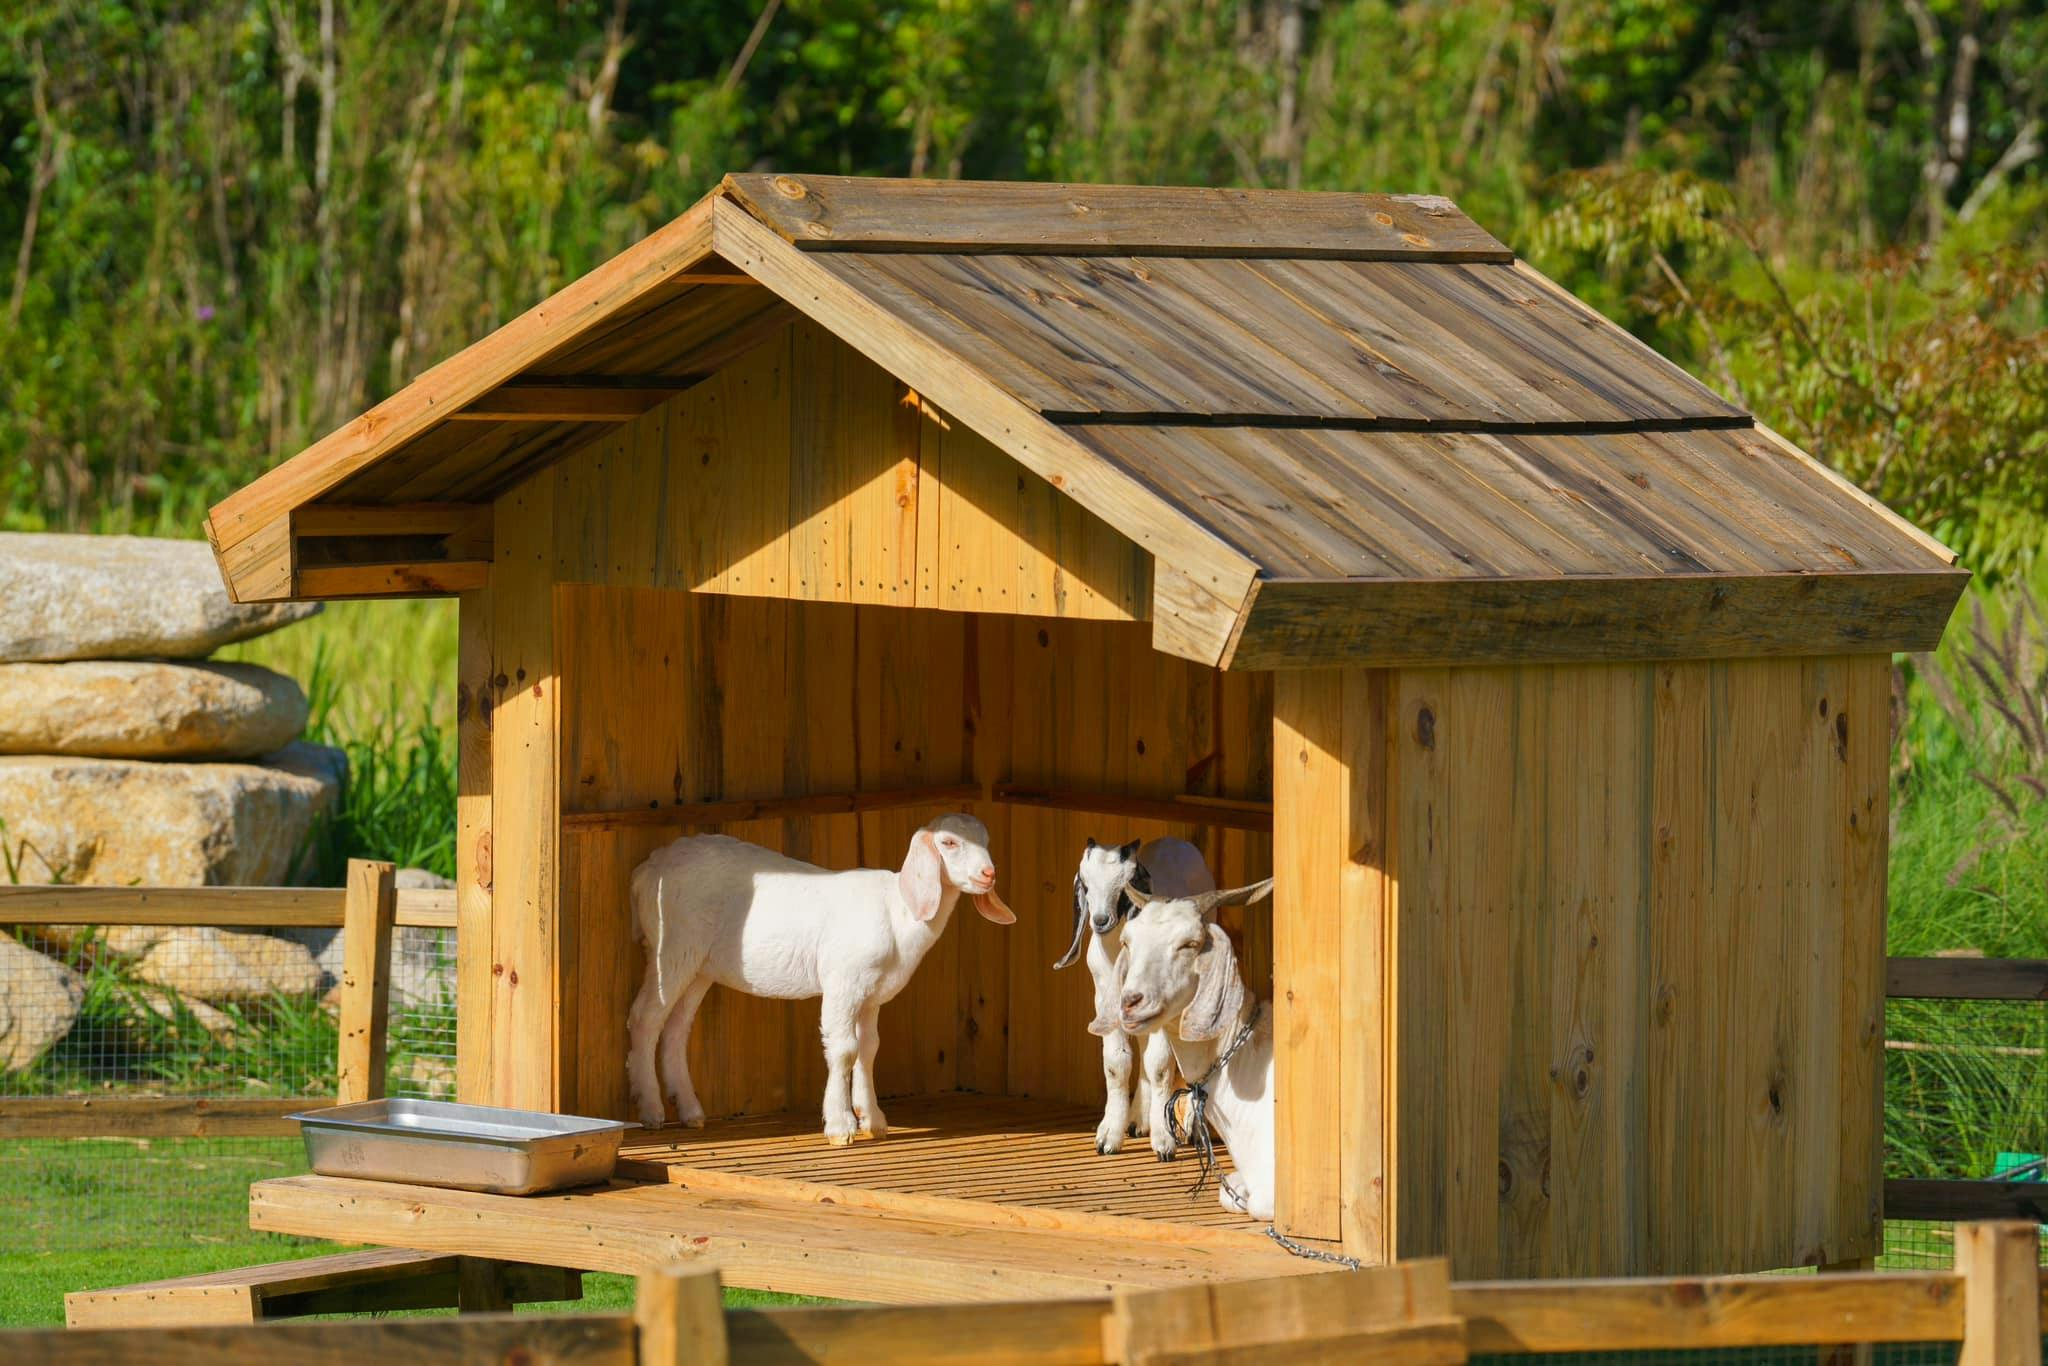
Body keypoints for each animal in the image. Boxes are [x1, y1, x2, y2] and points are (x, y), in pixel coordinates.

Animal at [625, 813, 1015, 1144]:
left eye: (986, 840)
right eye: (949, 842)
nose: (988, 874)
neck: (898, 910)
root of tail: (648, 869)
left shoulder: (870, 994)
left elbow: (869, 1048)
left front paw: (873, 1119)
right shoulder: (844, 983)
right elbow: (844, 1049)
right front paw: (841, 1126)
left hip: (699, 965)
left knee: (676, 1028)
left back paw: (690, 1111)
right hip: (671, 948)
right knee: (645, 1019)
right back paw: (652, 1111)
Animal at [1055, 836, 1214, 1156]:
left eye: (1125, 885)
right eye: (1086, 884)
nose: (1101, 921)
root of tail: (1175, 842)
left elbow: (1160, 1065)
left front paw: (1164, 1141)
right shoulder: (1105, 1001)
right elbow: (1117, 1064)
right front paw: (1108, 1138)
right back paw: (1139, 1120)